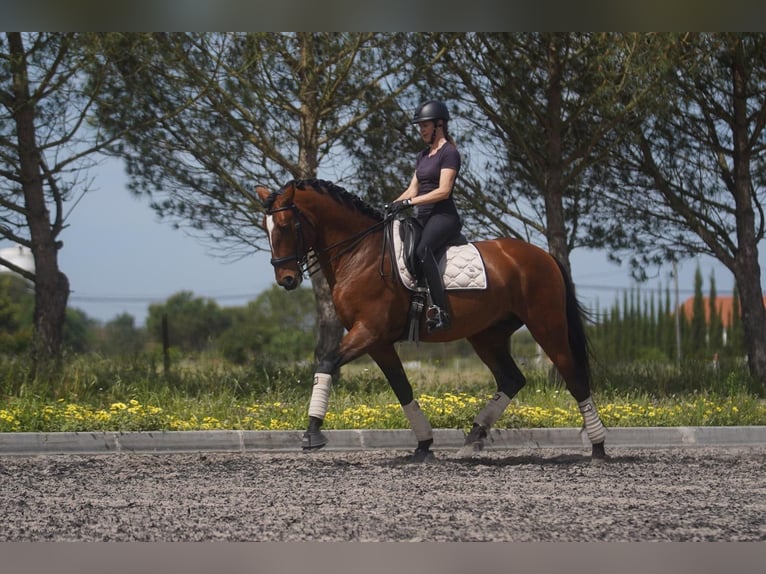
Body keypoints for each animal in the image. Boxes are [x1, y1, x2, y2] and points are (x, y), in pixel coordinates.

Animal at [255, 180, 608, 464]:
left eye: (284, 225)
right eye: (265, 227)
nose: (286, 279)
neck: (359, 253)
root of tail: (544, 256)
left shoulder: (367, 332)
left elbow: (326, 363)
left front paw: (312, 433)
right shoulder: (377, 341)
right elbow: (402, 388)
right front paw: (424, 445)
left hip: (546, 324)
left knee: (574, 377)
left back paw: (598, 449)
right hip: (487, 335)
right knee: (511, 380)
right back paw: (472, 440)